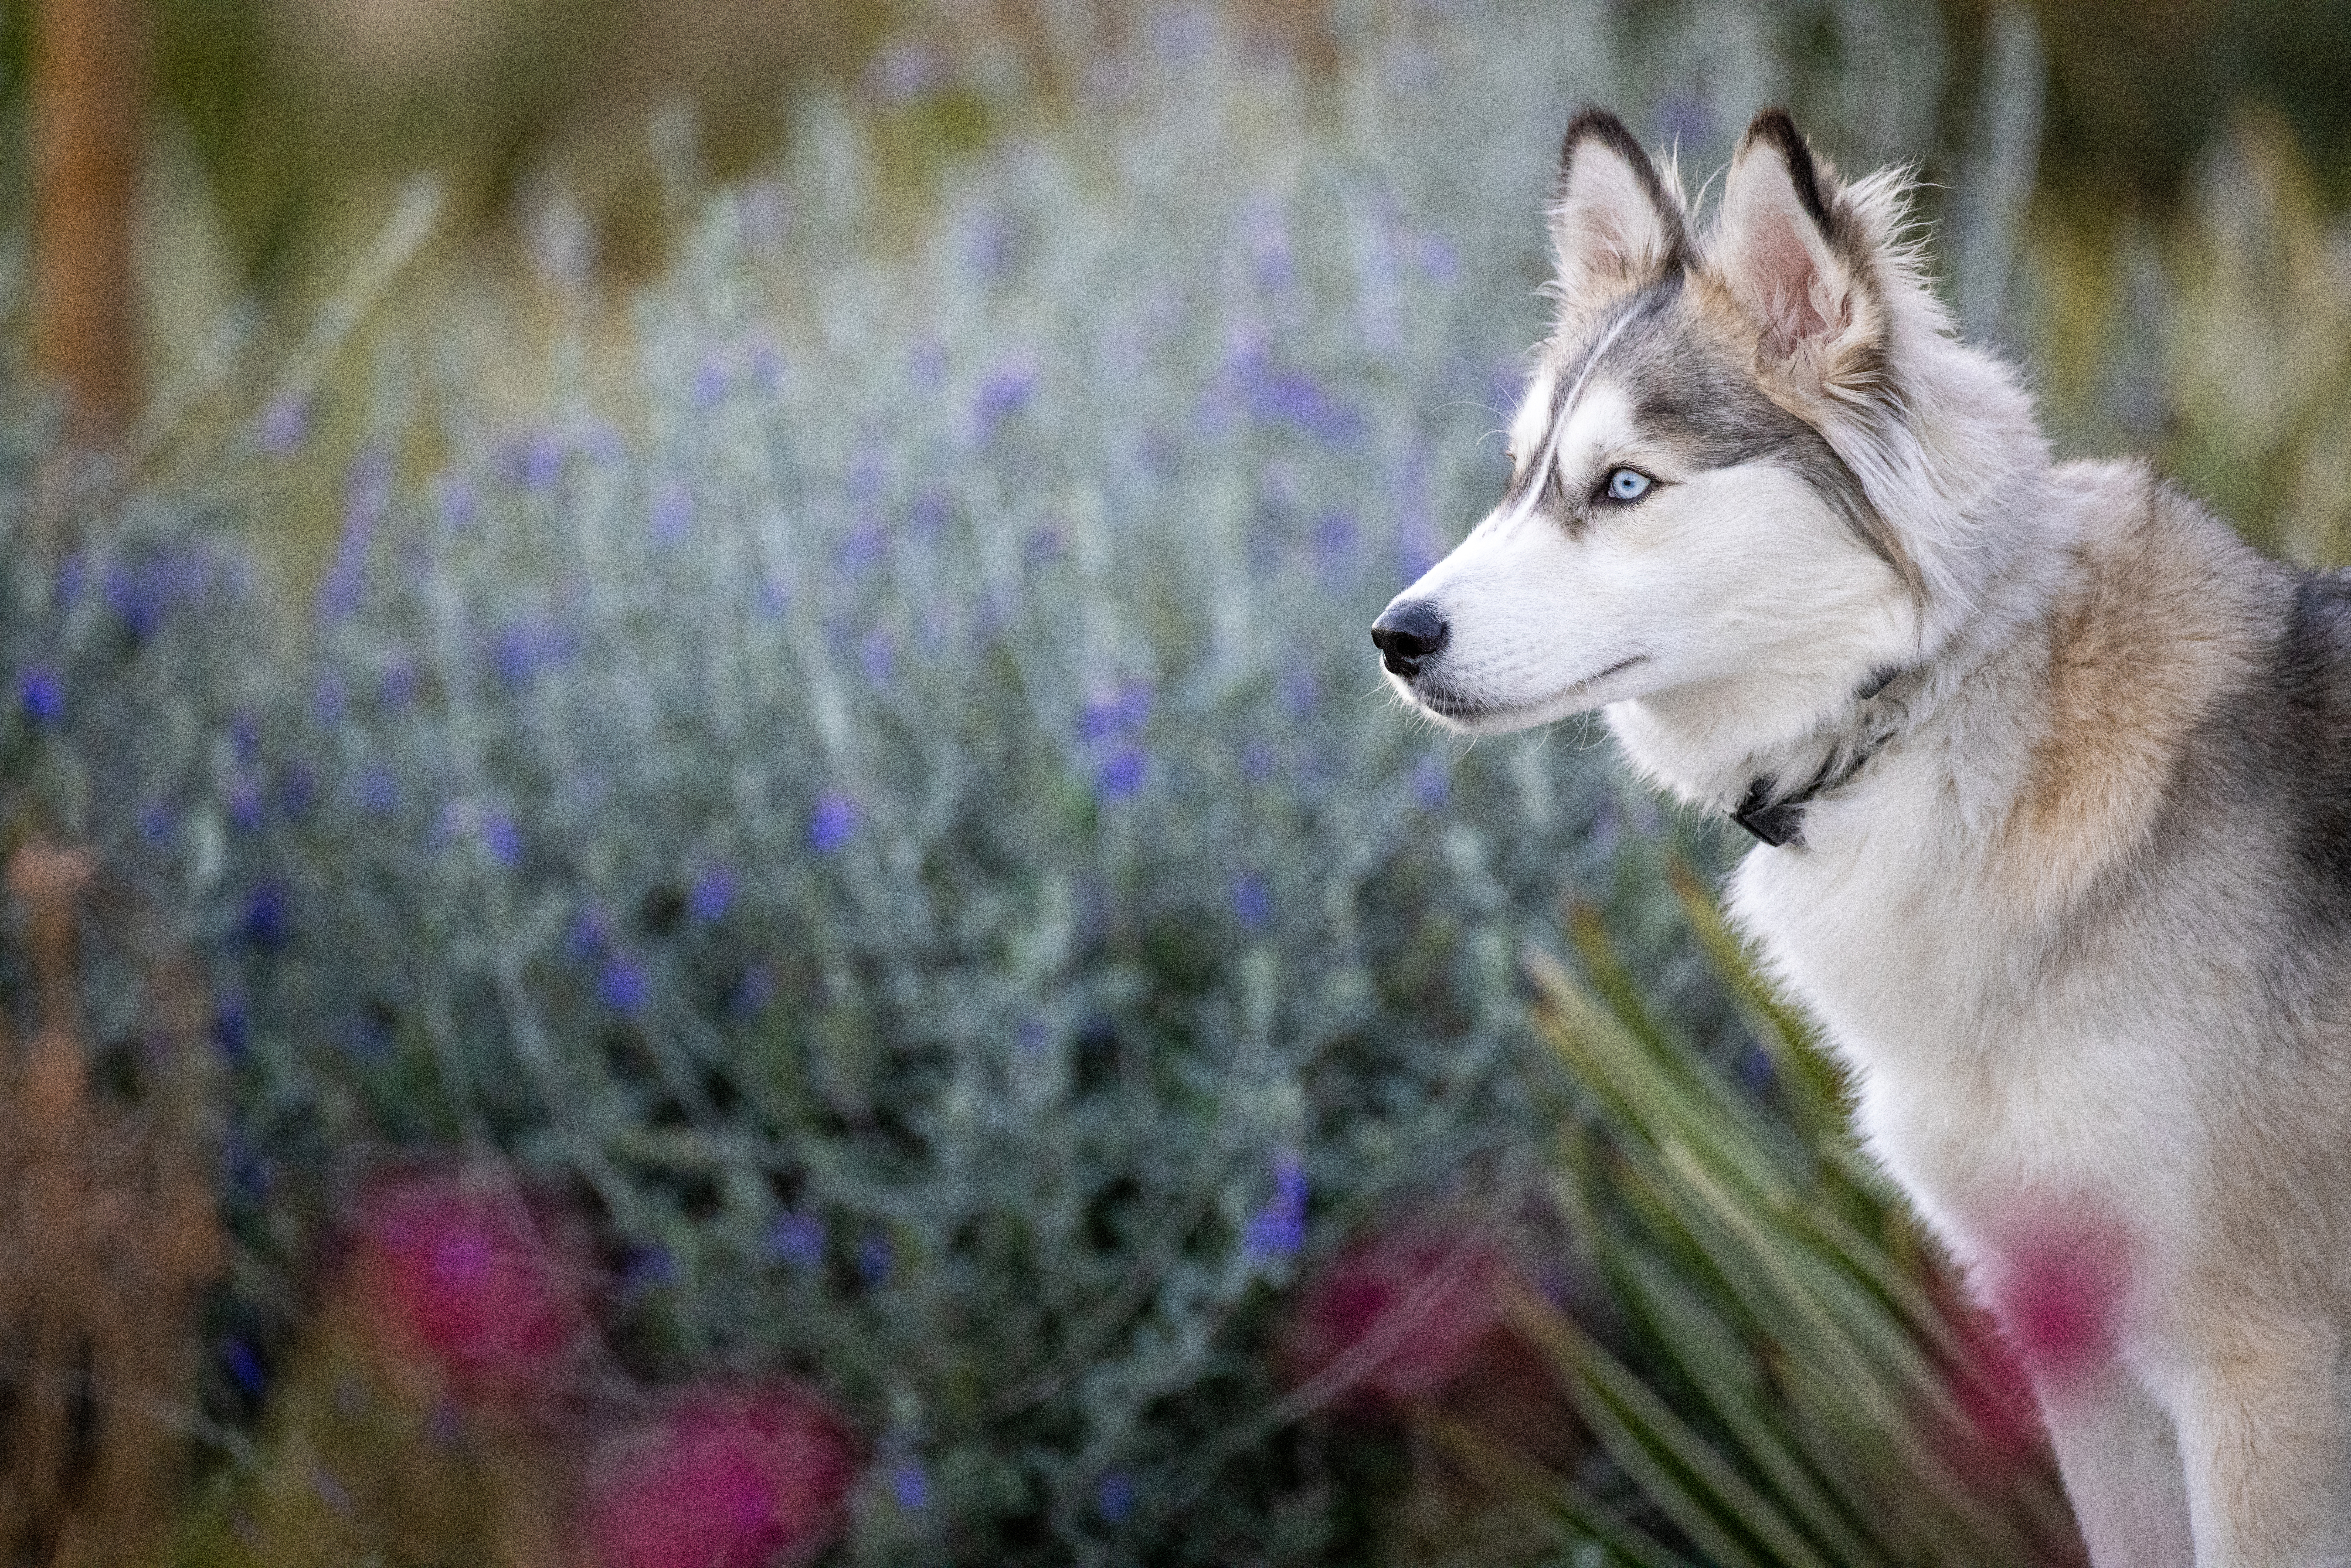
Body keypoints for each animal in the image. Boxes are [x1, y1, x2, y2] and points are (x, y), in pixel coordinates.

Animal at [1373, 104, 2351, 1561]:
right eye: (1518, 479)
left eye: (1622, 484)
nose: (1394, 637)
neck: (1918, 715)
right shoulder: (2080, 1356)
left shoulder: (2258, 1365)